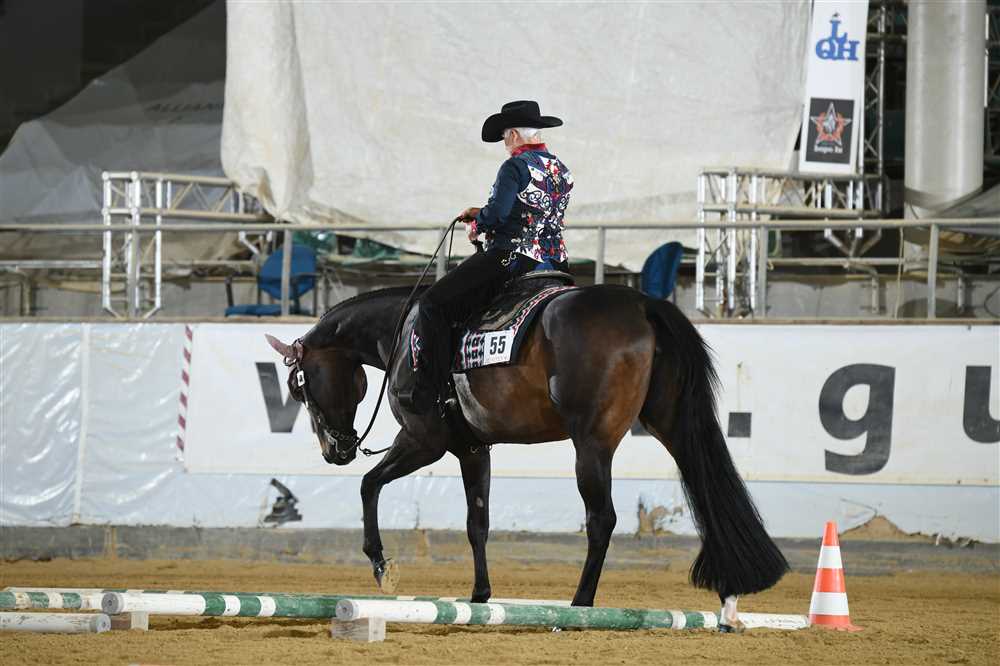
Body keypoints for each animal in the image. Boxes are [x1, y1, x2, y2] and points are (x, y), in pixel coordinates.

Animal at [265, 281, 789, 630]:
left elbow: (369, 483)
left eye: (300, 386)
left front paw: (382, 566)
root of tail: (642, 304)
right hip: (674, 426)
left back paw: (578, 608)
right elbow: (477, 523)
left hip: (591, 444)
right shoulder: (472, 448)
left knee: (602, 520)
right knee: (708, 488)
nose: (335, 450)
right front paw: (479, 597)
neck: (402, 334)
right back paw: (730, 594)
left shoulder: (423, 440)